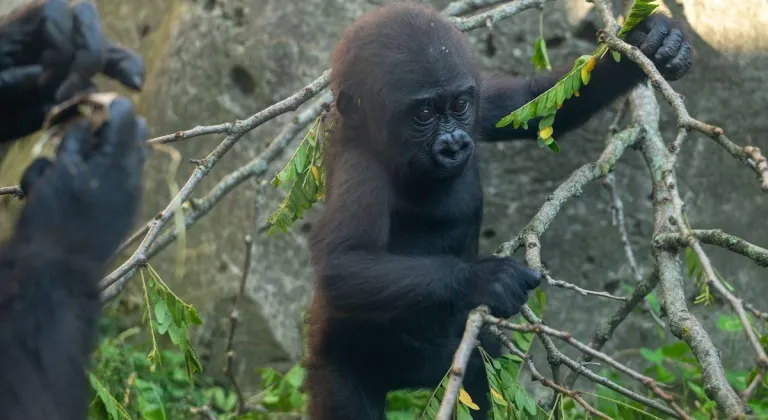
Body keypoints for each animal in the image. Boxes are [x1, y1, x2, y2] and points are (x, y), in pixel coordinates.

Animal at [304, 1, 692, 418]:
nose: (454, 143)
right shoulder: (360, 167)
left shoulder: (483, 102)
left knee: (475, 372)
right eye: (424, 114)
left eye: (459, 106)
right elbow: (343, 263)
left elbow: (540, 103)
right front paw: (483, 279)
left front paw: (651, 43)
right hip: (338, 359)